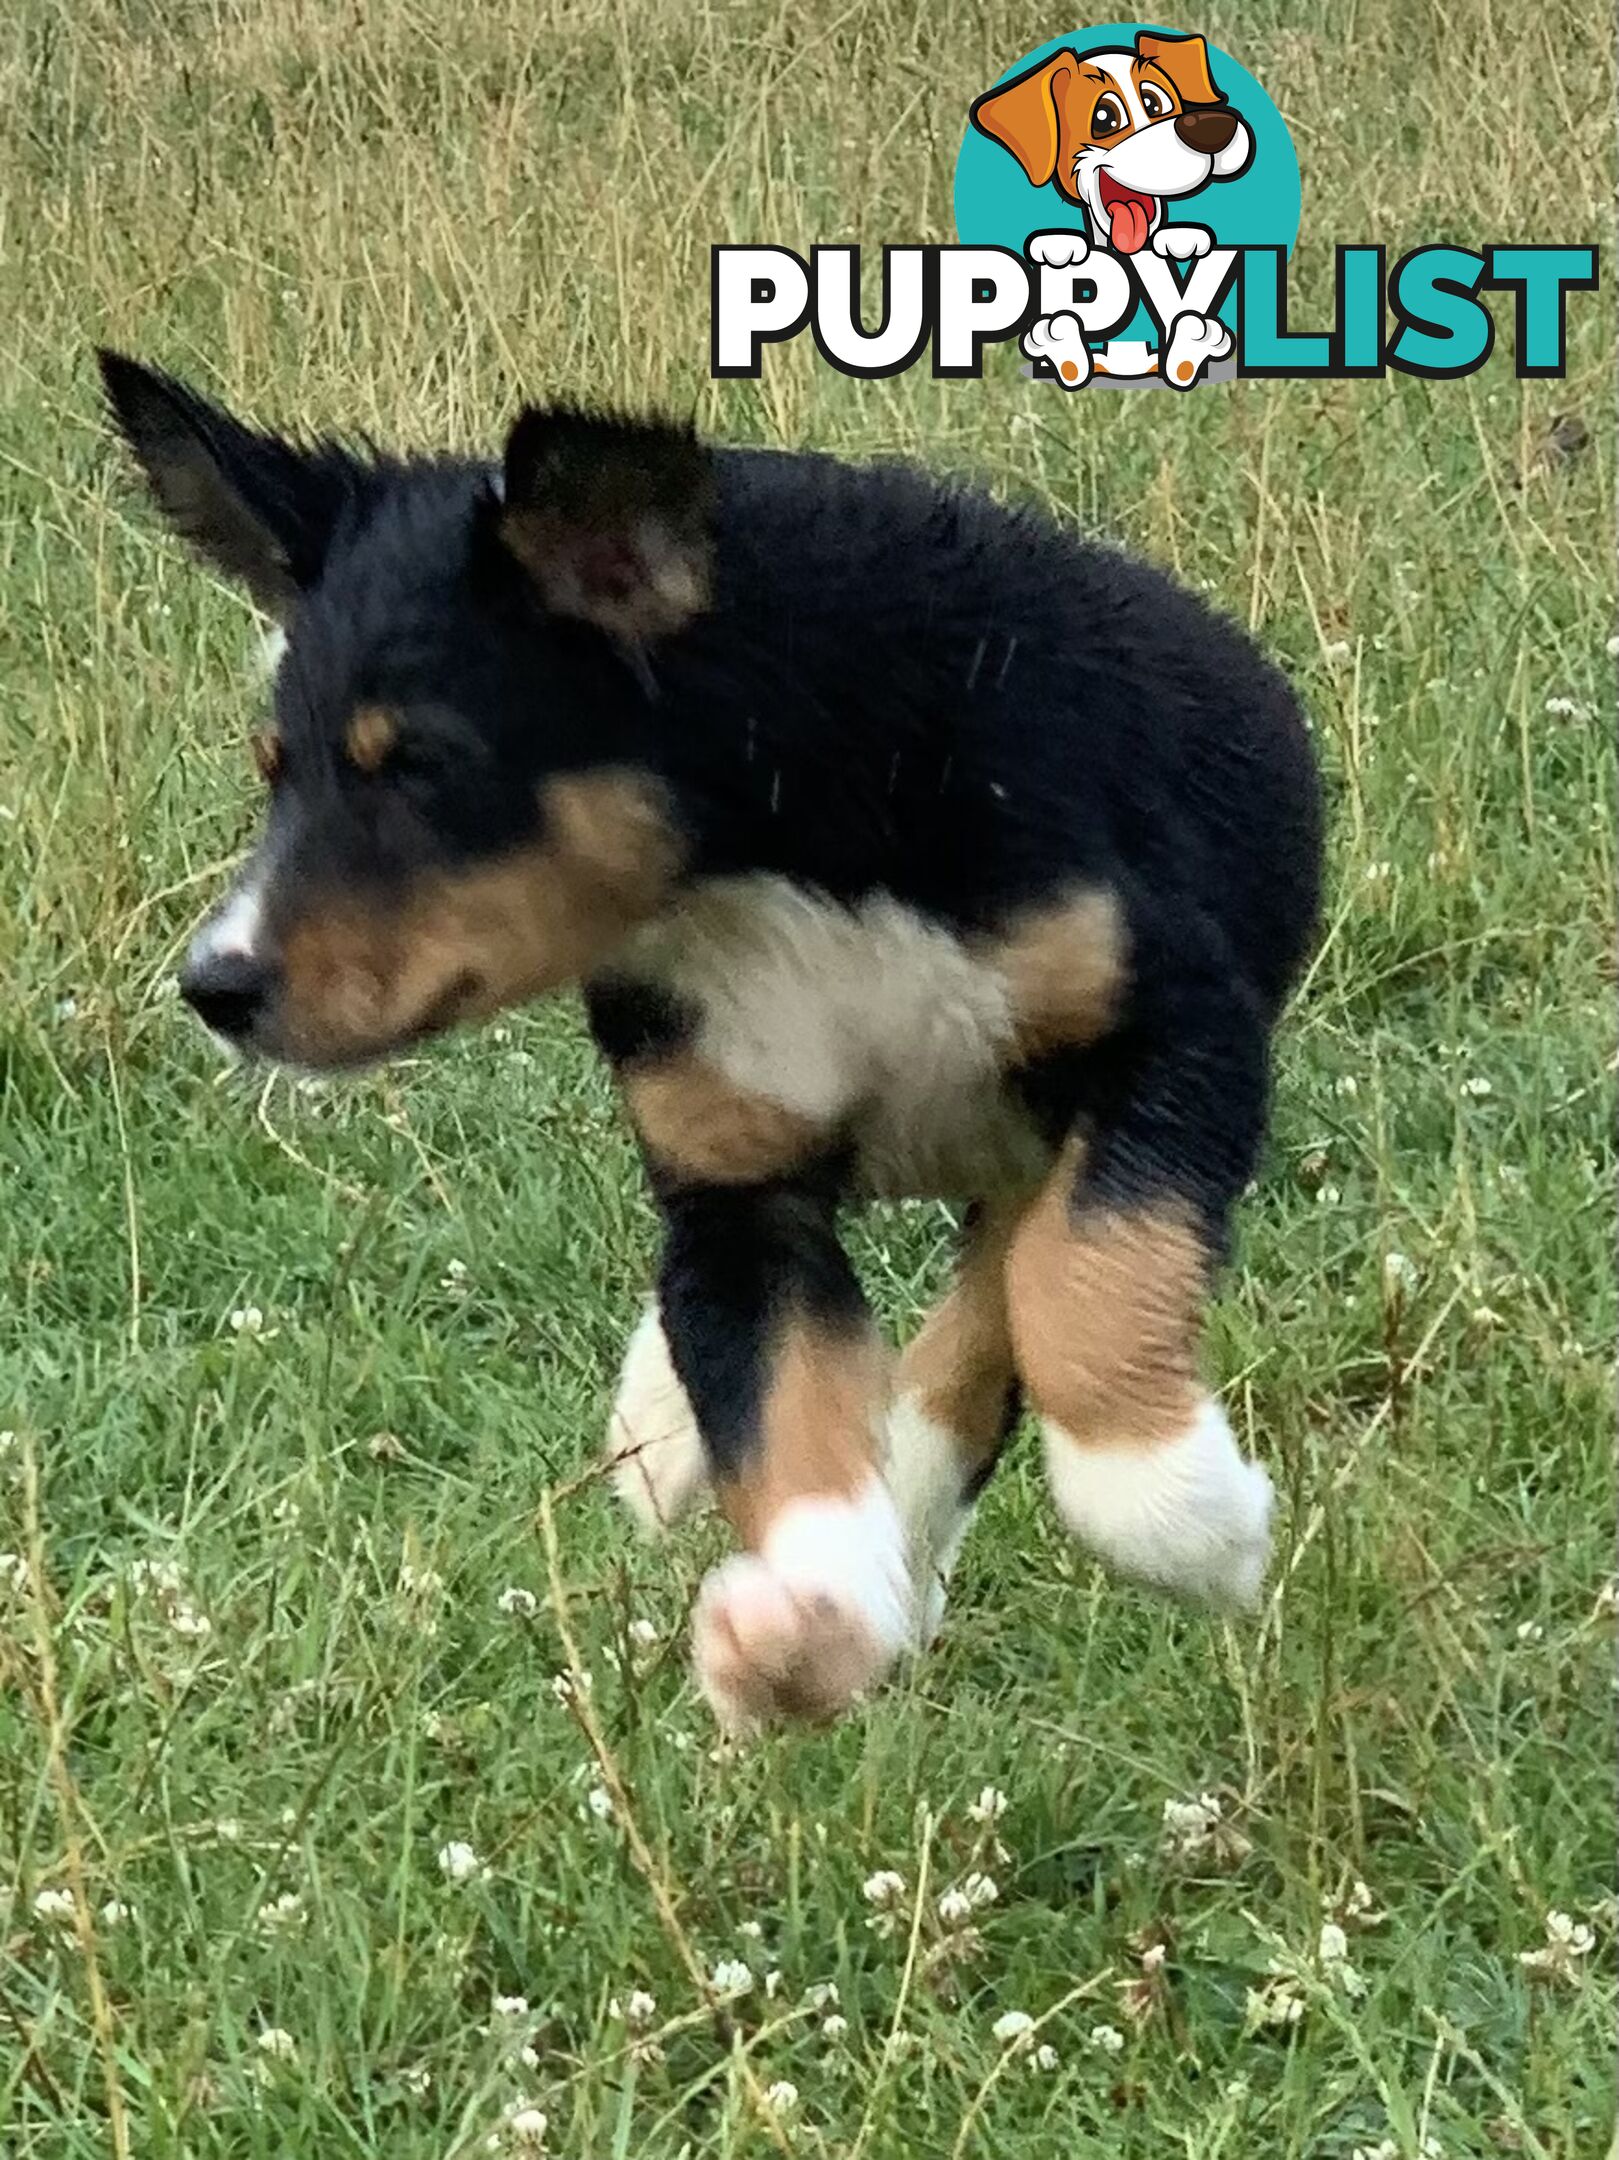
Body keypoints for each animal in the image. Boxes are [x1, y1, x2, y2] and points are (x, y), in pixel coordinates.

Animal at [98, 358, 1321, 1736]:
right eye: (275, 770)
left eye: (418, 763)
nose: (216, 985)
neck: (780, 855)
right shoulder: (739, 1187)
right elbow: (776, 1399)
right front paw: (804, 1622)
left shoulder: (1178, 1032)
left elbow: (1083, 1283)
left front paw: (1179, 1515)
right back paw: (681, 1435)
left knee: (998, 1295)